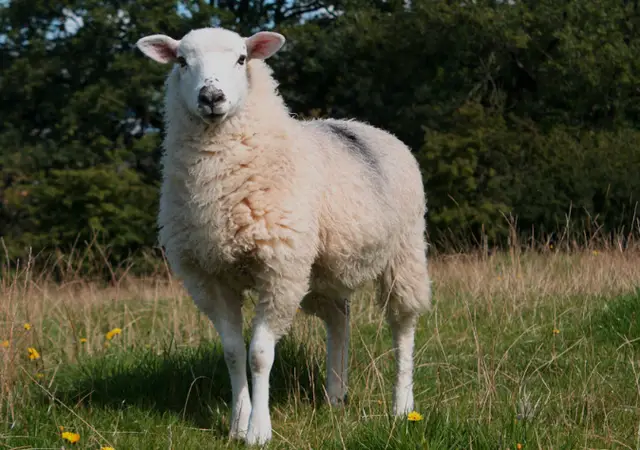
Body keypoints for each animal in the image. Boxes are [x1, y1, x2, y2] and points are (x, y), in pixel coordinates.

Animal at [136, 26, 430, 444]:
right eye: (181, 61)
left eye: (242, 59)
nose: (211, 98)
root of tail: (364, 126)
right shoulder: (210, 276)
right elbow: (232, 352)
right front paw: (236, 424)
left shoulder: (279, 269)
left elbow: (259, 353)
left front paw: (259, 430)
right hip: (320, 271)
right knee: (339, 319)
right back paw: (335, 396)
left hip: (404, 252)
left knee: (403, 325)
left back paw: (401, 406)